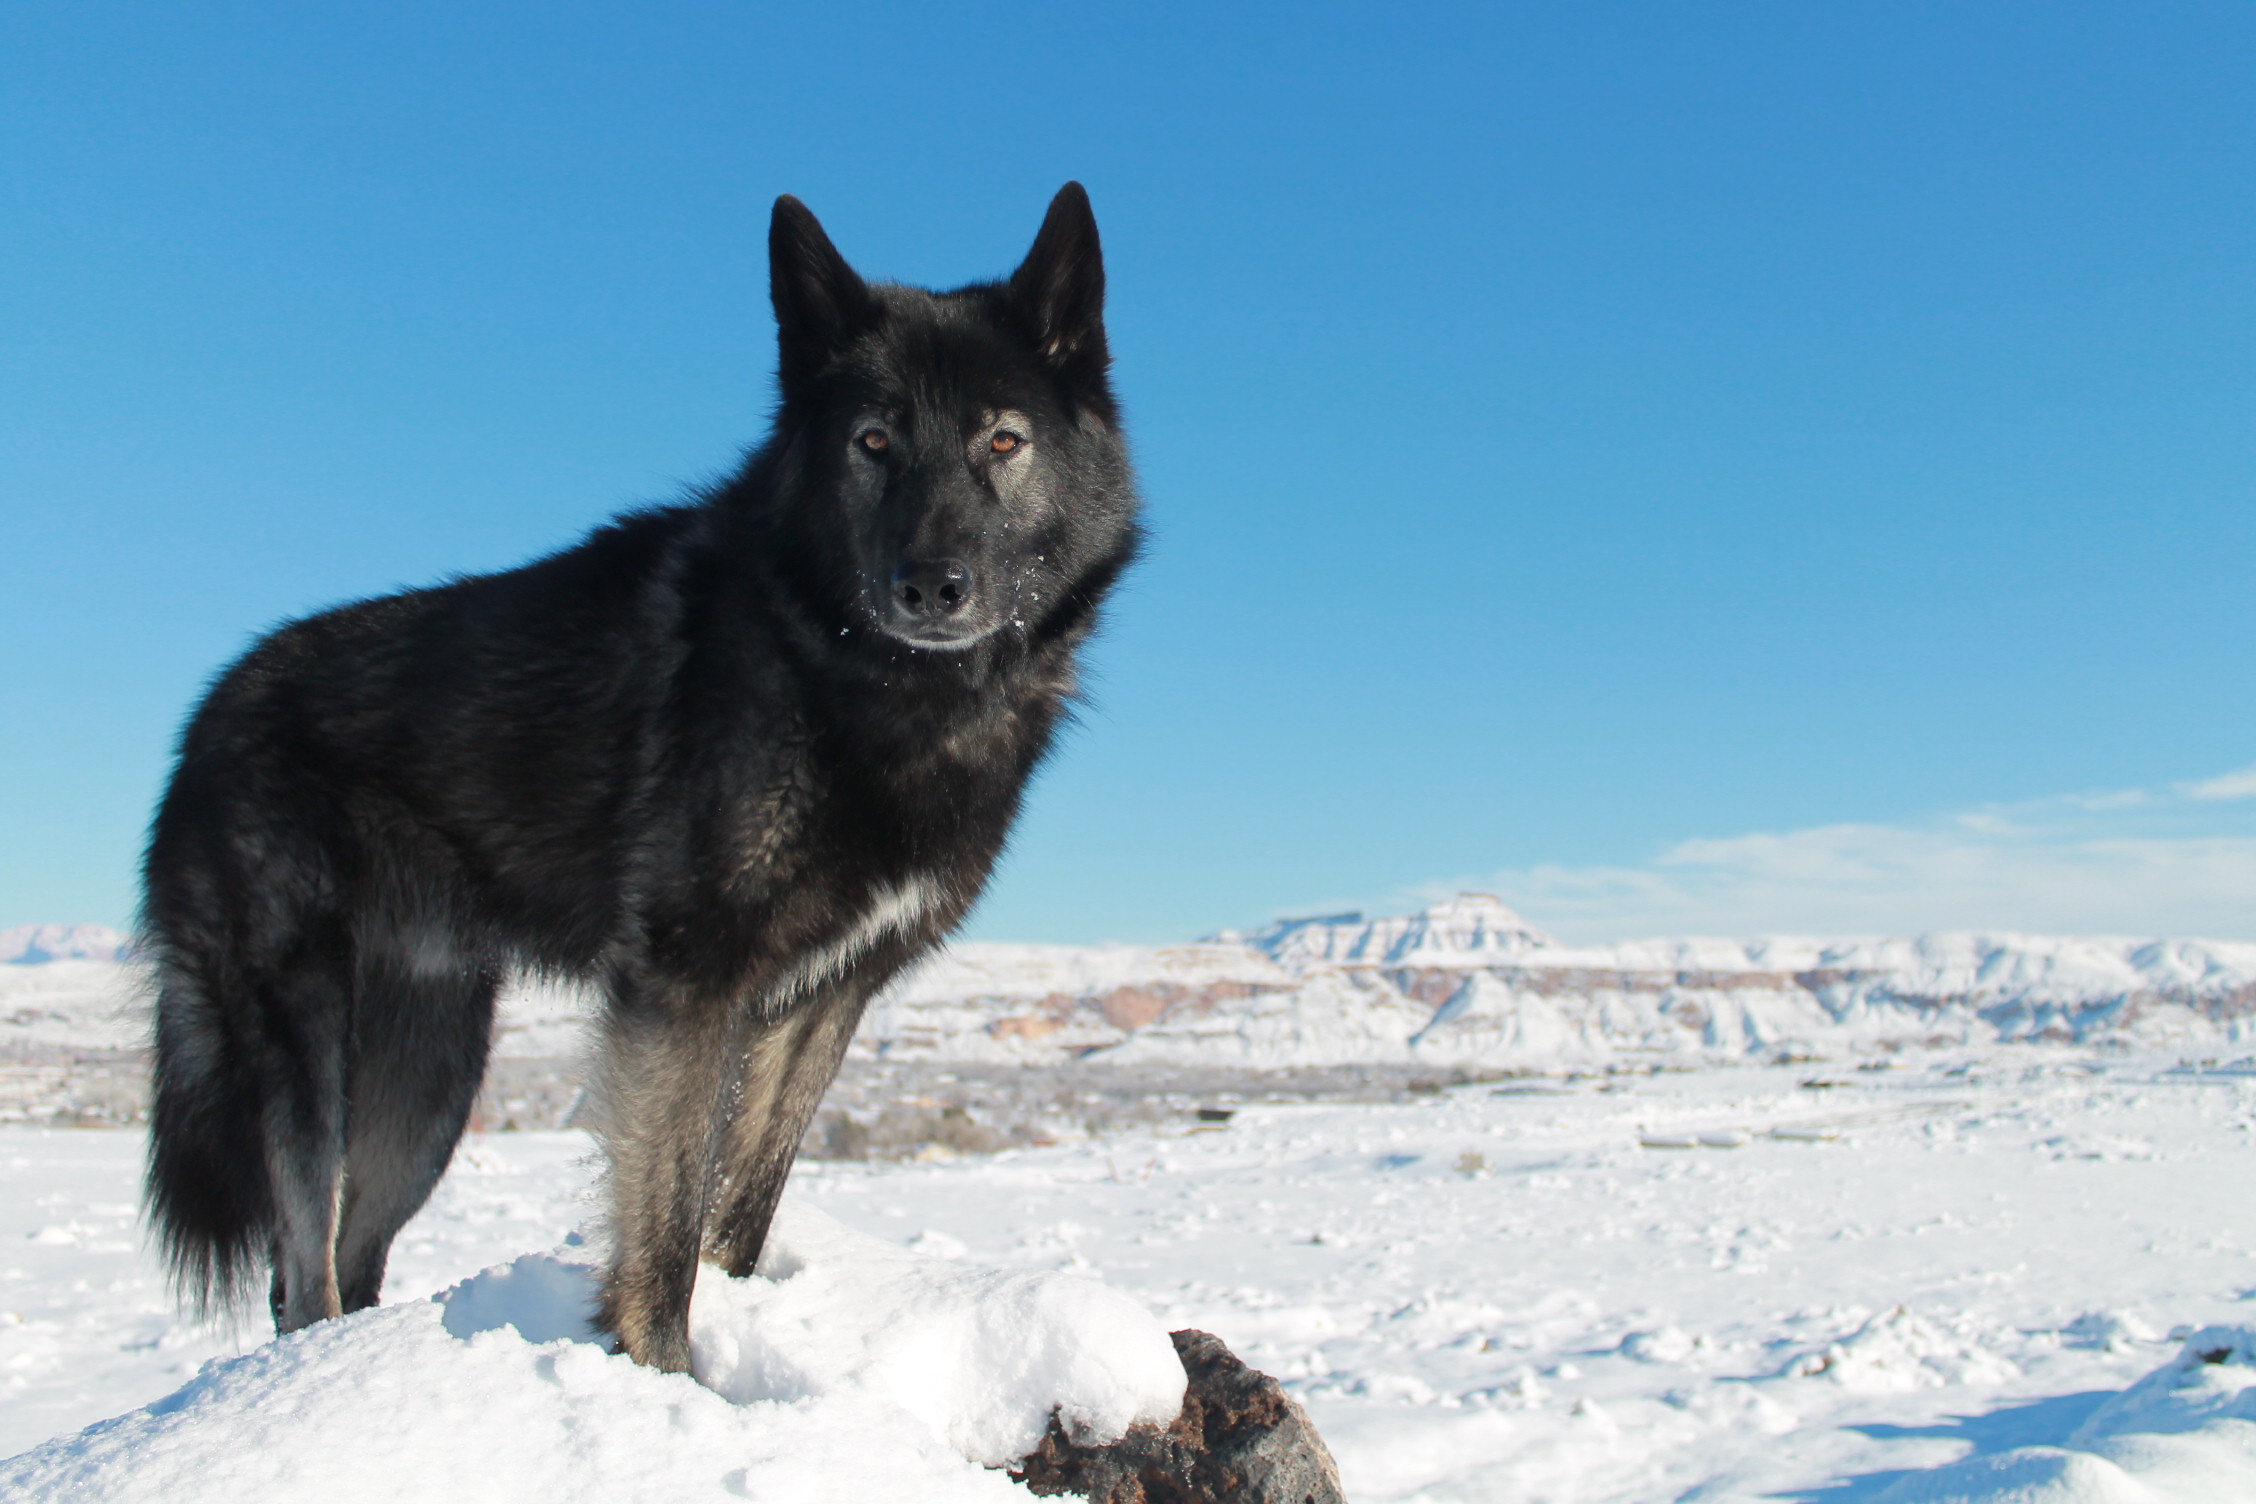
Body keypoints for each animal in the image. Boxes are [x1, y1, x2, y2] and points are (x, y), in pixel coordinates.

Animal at [136, 182, 1146, 1370]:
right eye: (874, 441)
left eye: (1004, 438)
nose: (929, 586)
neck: (854, 676)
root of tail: (206, 715)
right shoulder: (685, 986)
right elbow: (662, 1231)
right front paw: (664, 1380)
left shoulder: (821, 1001)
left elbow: (739, 1209)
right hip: (307, 1050)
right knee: (302, 1272)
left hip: (430, 1085)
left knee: (348, 1256)